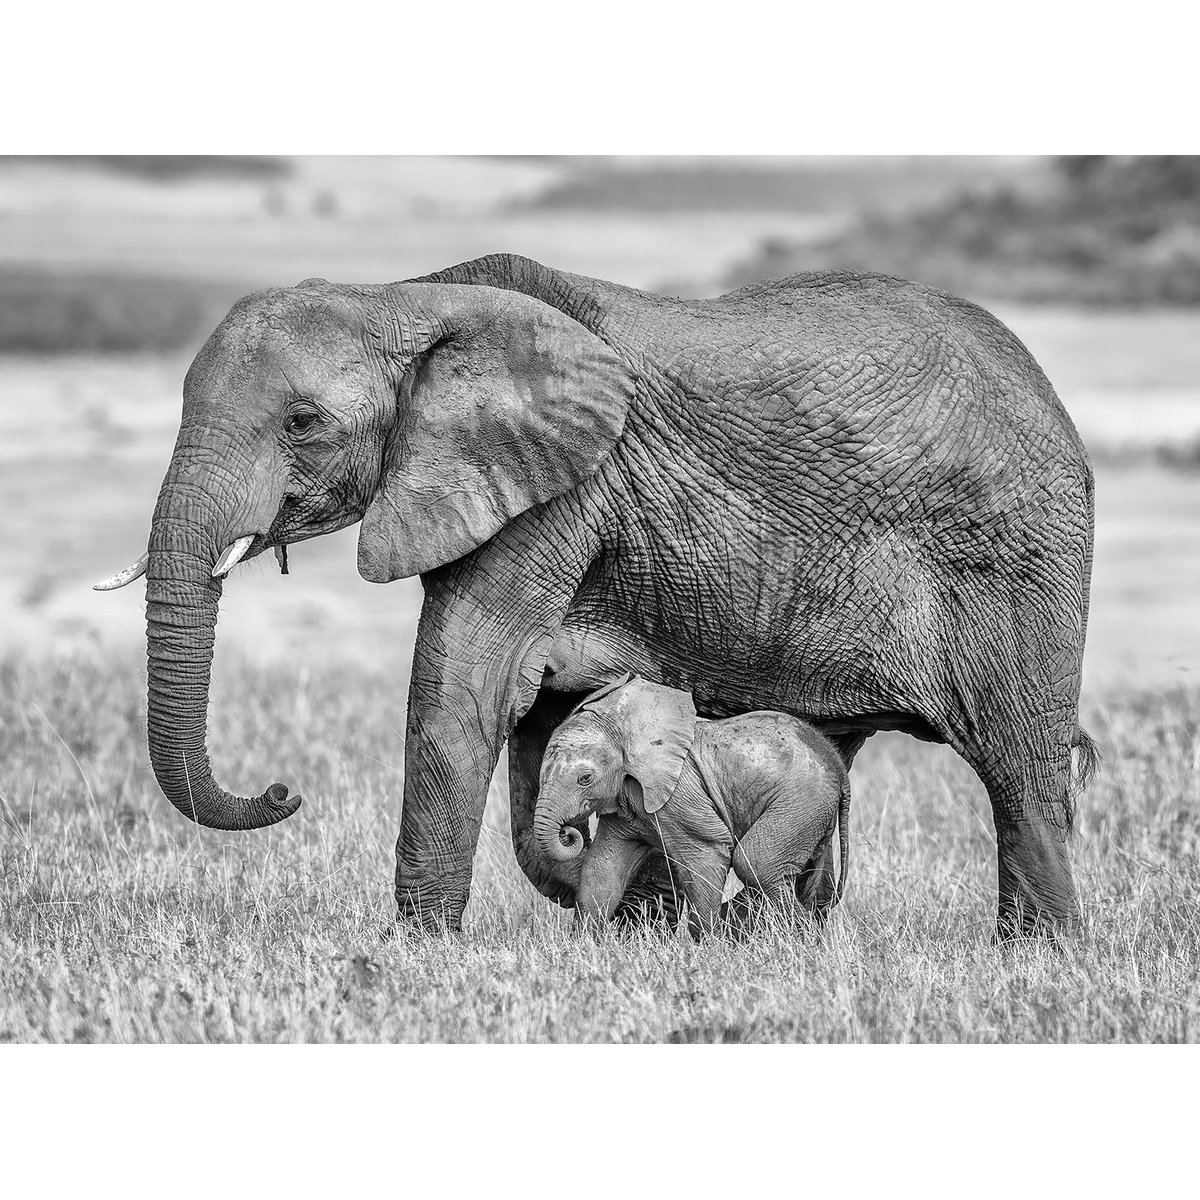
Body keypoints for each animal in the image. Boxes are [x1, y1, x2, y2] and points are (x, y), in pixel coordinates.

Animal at [535, 675, 851, 938]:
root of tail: (836, 761)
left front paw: (710, 948)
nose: (569, 832)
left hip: (801, 798)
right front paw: (582, 945)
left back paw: (801, 938)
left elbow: (706, 854)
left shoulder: (680, 797)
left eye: (585, 779)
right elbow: (602, 869)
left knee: (756, 861)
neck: (625, 730)